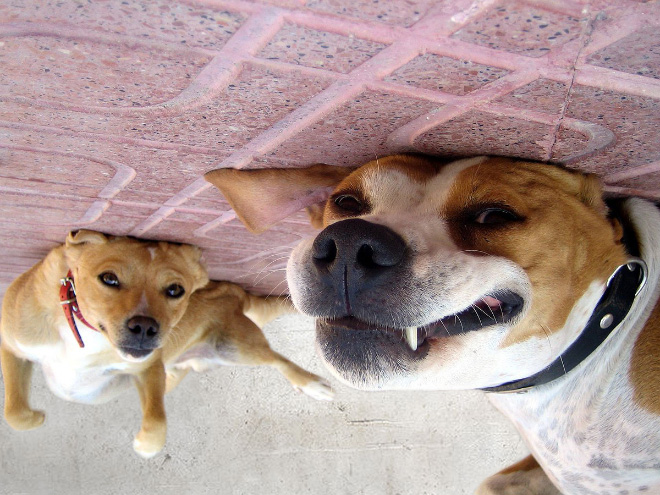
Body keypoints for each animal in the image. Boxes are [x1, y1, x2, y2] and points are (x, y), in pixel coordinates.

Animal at [0, 231, 330, 460]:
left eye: (175, 290)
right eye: (109, 279)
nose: (145, 328)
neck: (86, 332)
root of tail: (234, 291)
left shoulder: (147, 368)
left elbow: (157, 419)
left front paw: (147, 445)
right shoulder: (12, 347)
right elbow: (14, 411)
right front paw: (33, 417)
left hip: (235, 346)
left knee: (278, 360)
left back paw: (313, 384)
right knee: (180, 371)